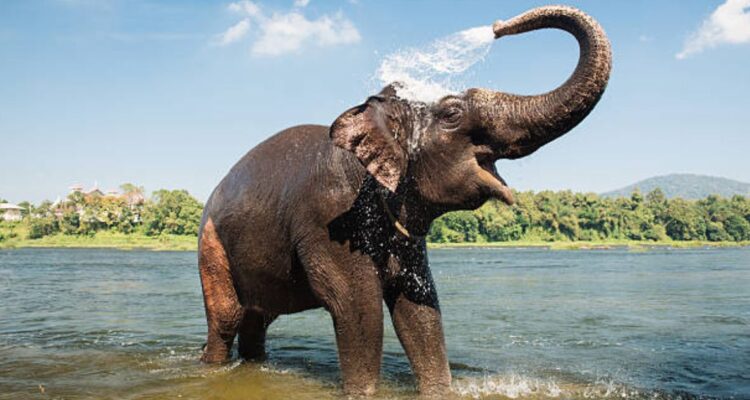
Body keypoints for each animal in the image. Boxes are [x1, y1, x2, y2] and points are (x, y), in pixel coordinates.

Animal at [197, 5, 611, 397]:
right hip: (211, 245)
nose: (497, 26)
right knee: (227, 318)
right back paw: (212, 367)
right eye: (452, 113)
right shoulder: (328, 218)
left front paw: (440, 390)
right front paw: (362, 392)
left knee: (257, 319)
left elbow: (418, 306)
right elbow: (357, 306)